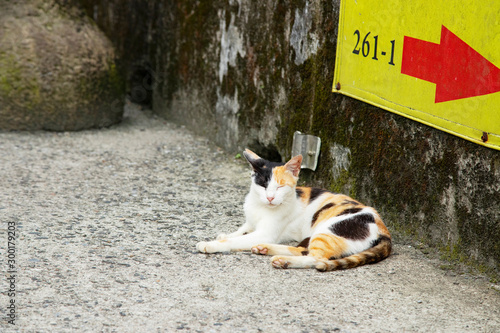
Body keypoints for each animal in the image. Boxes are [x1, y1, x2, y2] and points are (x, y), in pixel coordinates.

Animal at [195, 148, 390, 270]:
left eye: (280, 187)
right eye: (263, 185)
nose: (270, 197)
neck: (260, 207)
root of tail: (384, 230)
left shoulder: (265, 232)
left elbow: (234, 241)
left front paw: (211, 244)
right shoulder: (251, 223)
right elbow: (240, 231)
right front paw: (224, 235)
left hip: (329, 230)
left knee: (315, 257)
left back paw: (283, 261)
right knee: (304, 250)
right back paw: (265, 249)